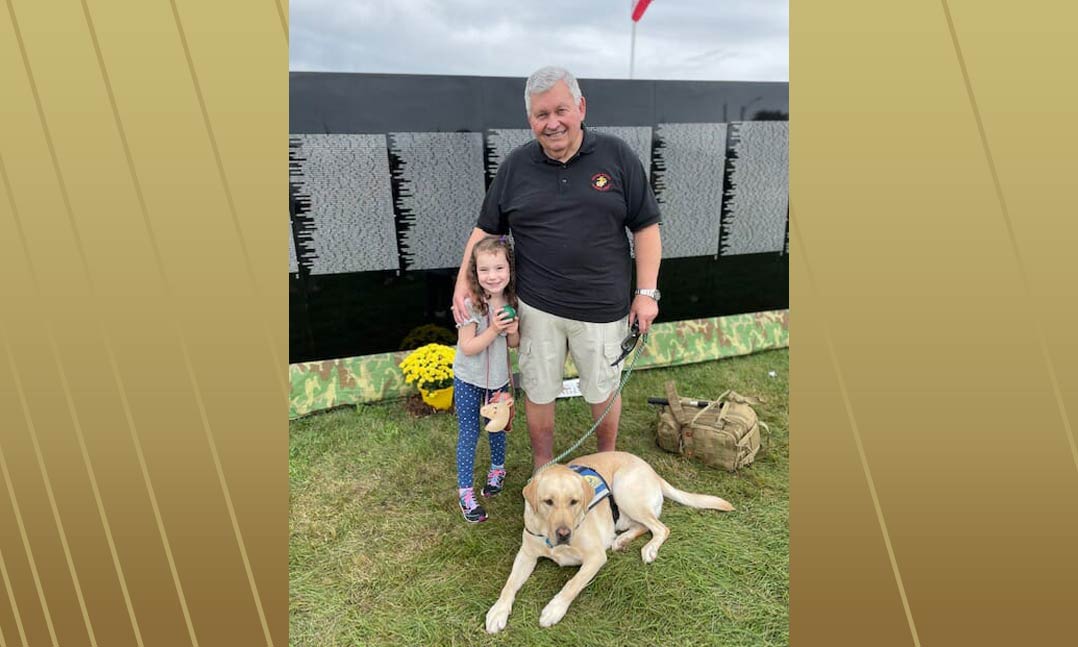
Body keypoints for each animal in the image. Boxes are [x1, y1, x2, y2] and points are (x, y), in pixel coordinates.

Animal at [487, 450, 733, 629]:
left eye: (574, 502)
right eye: (548, 502)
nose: (564, 534)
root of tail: (652, 470)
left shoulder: (595, 557)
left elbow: (573, 583)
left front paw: (554, 609)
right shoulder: (526, 555)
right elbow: (509, 584)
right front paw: (498, 611)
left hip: (624, 489)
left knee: (661, 528)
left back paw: (649, 549)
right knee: (643, 526)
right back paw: (622, 540)